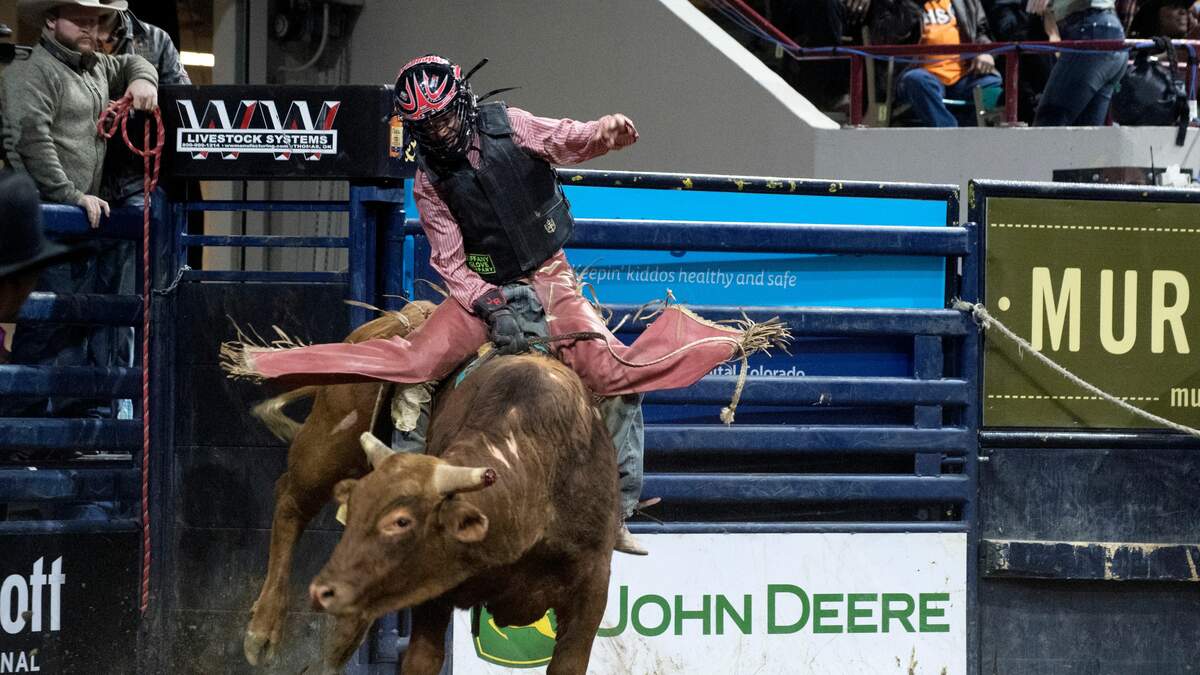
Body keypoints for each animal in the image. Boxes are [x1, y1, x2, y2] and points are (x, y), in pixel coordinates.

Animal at [309, 353, 619, 672]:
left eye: (401, 521)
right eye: (353, 511)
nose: (323, 591)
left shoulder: (593, 586)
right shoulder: (433, 589)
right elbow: (423, 658)